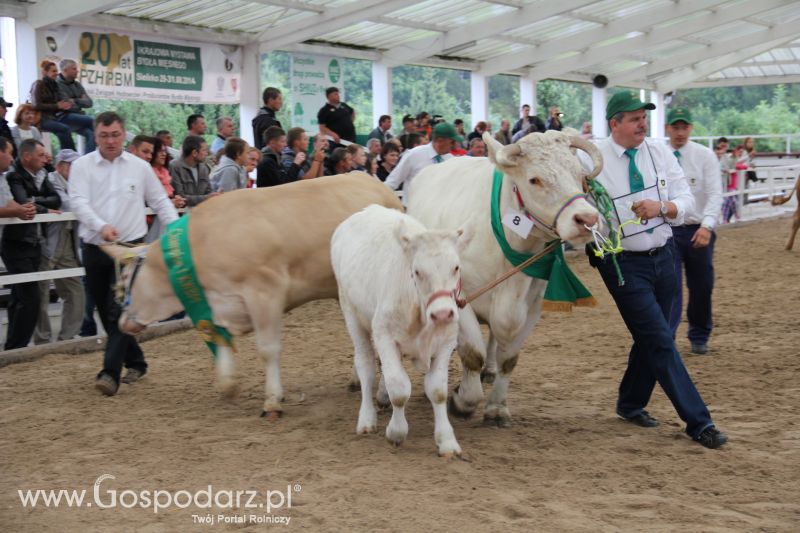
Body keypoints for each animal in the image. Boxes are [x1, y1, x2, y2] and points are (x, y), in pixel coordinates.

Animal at [101, 172, 400, 418]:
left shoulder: (265, 292)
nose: (121, 323)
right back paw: (356, 380)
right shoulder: (214, 307)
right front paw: (229, 385)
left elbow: (267, 350)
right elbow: (220, 342)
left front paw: (272, 401)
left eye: (125, 280)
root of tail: (372, 181)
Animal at [330, 206, 468, 456]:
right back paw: (367, 418)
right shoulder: (384, 335)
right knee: (366, 365)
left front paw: (446, 440)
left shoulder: (446, 341)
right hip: (350, 311)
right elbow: (400, 389)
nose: (443, 313)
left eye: (456, 267)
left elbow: (438, 391)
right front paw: (396, 432)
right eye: (417, 271)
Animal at [406, 131, 600, 426]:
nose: (586, 218)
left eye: (579, 174)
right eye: (534, 179)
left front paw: (496, 407)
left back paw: (490, 370)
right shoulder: (459, 298)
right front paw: (463, 401)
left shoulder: (532, 304)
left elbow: (509, 357)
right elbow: (472, 353)